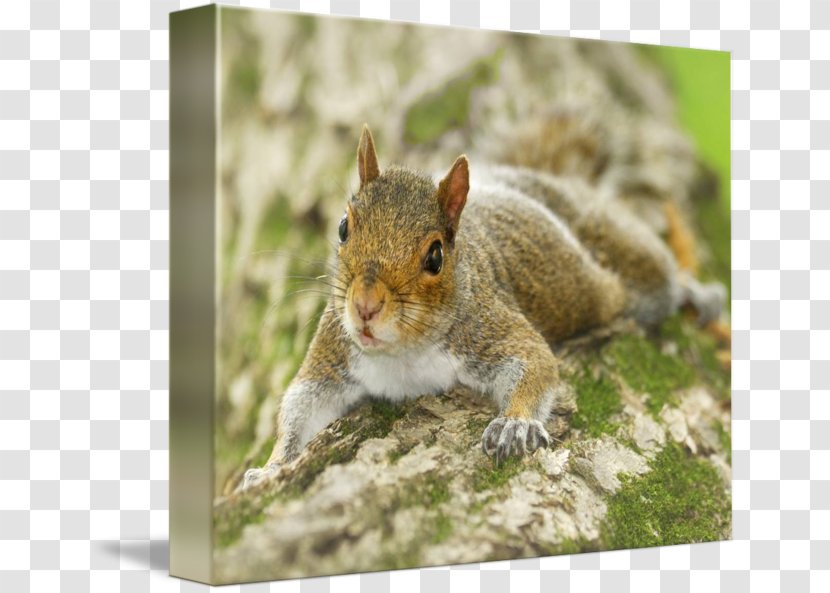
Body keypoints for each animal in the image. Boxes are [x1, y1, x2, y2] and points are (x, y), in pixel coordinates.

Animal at [239, 122, 720, 488]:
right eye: (342, 227)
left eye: (435, 256)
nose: (366, 307)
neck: (401, 355)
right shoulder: (333, 350)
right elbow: (300, 405)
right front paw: (272, 468)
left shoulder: (488, 325)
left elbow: (535, 361)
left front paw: (515, 423)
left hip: (629, 262)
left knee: (660, 276)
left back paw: (697, 293)